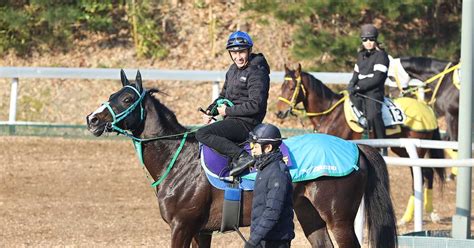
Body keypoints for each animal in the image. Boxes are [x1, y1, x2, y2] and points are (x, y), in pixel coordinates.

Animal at [87, 70, 398, 248]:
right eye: (112, 94)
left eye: (127, 100)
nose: (92, 119)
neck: (178, 161)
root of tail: (357, 149)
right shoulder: (201, 231)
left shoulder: (182, 227)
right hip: (310, 215)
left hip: (339, 220)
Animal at [276, 64, 446, 225]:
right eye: (282, 87)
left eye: (291, 87)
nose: (279, 113)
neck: (330, 114)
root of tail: (427, 108)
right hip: (403, 150)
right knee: (425, 174)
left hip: (418, 148)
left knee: (424, 175)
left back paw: (425, 214)